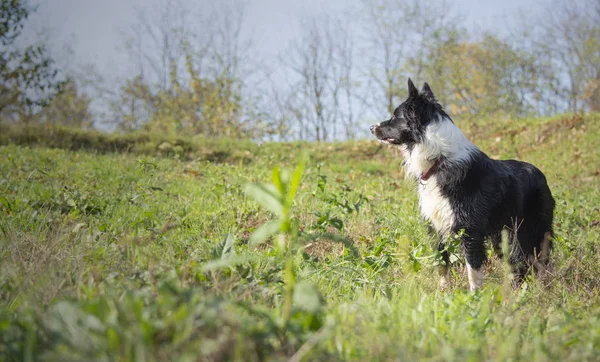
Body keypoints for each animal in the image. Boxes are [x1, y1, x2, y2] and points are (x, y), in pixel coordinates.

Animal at [370, 79, 556, 292]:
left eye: (395, 116)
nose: (371, 127)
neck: (439, 161)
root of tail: (540, 173)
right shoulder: (435, 228)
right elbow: (441, 264)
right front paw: (443, 293)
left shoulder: (470, 230)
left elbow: (472, 269)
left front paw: (474, 297)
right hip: (502, 234)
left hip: (532, 229)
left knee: (538, 258)